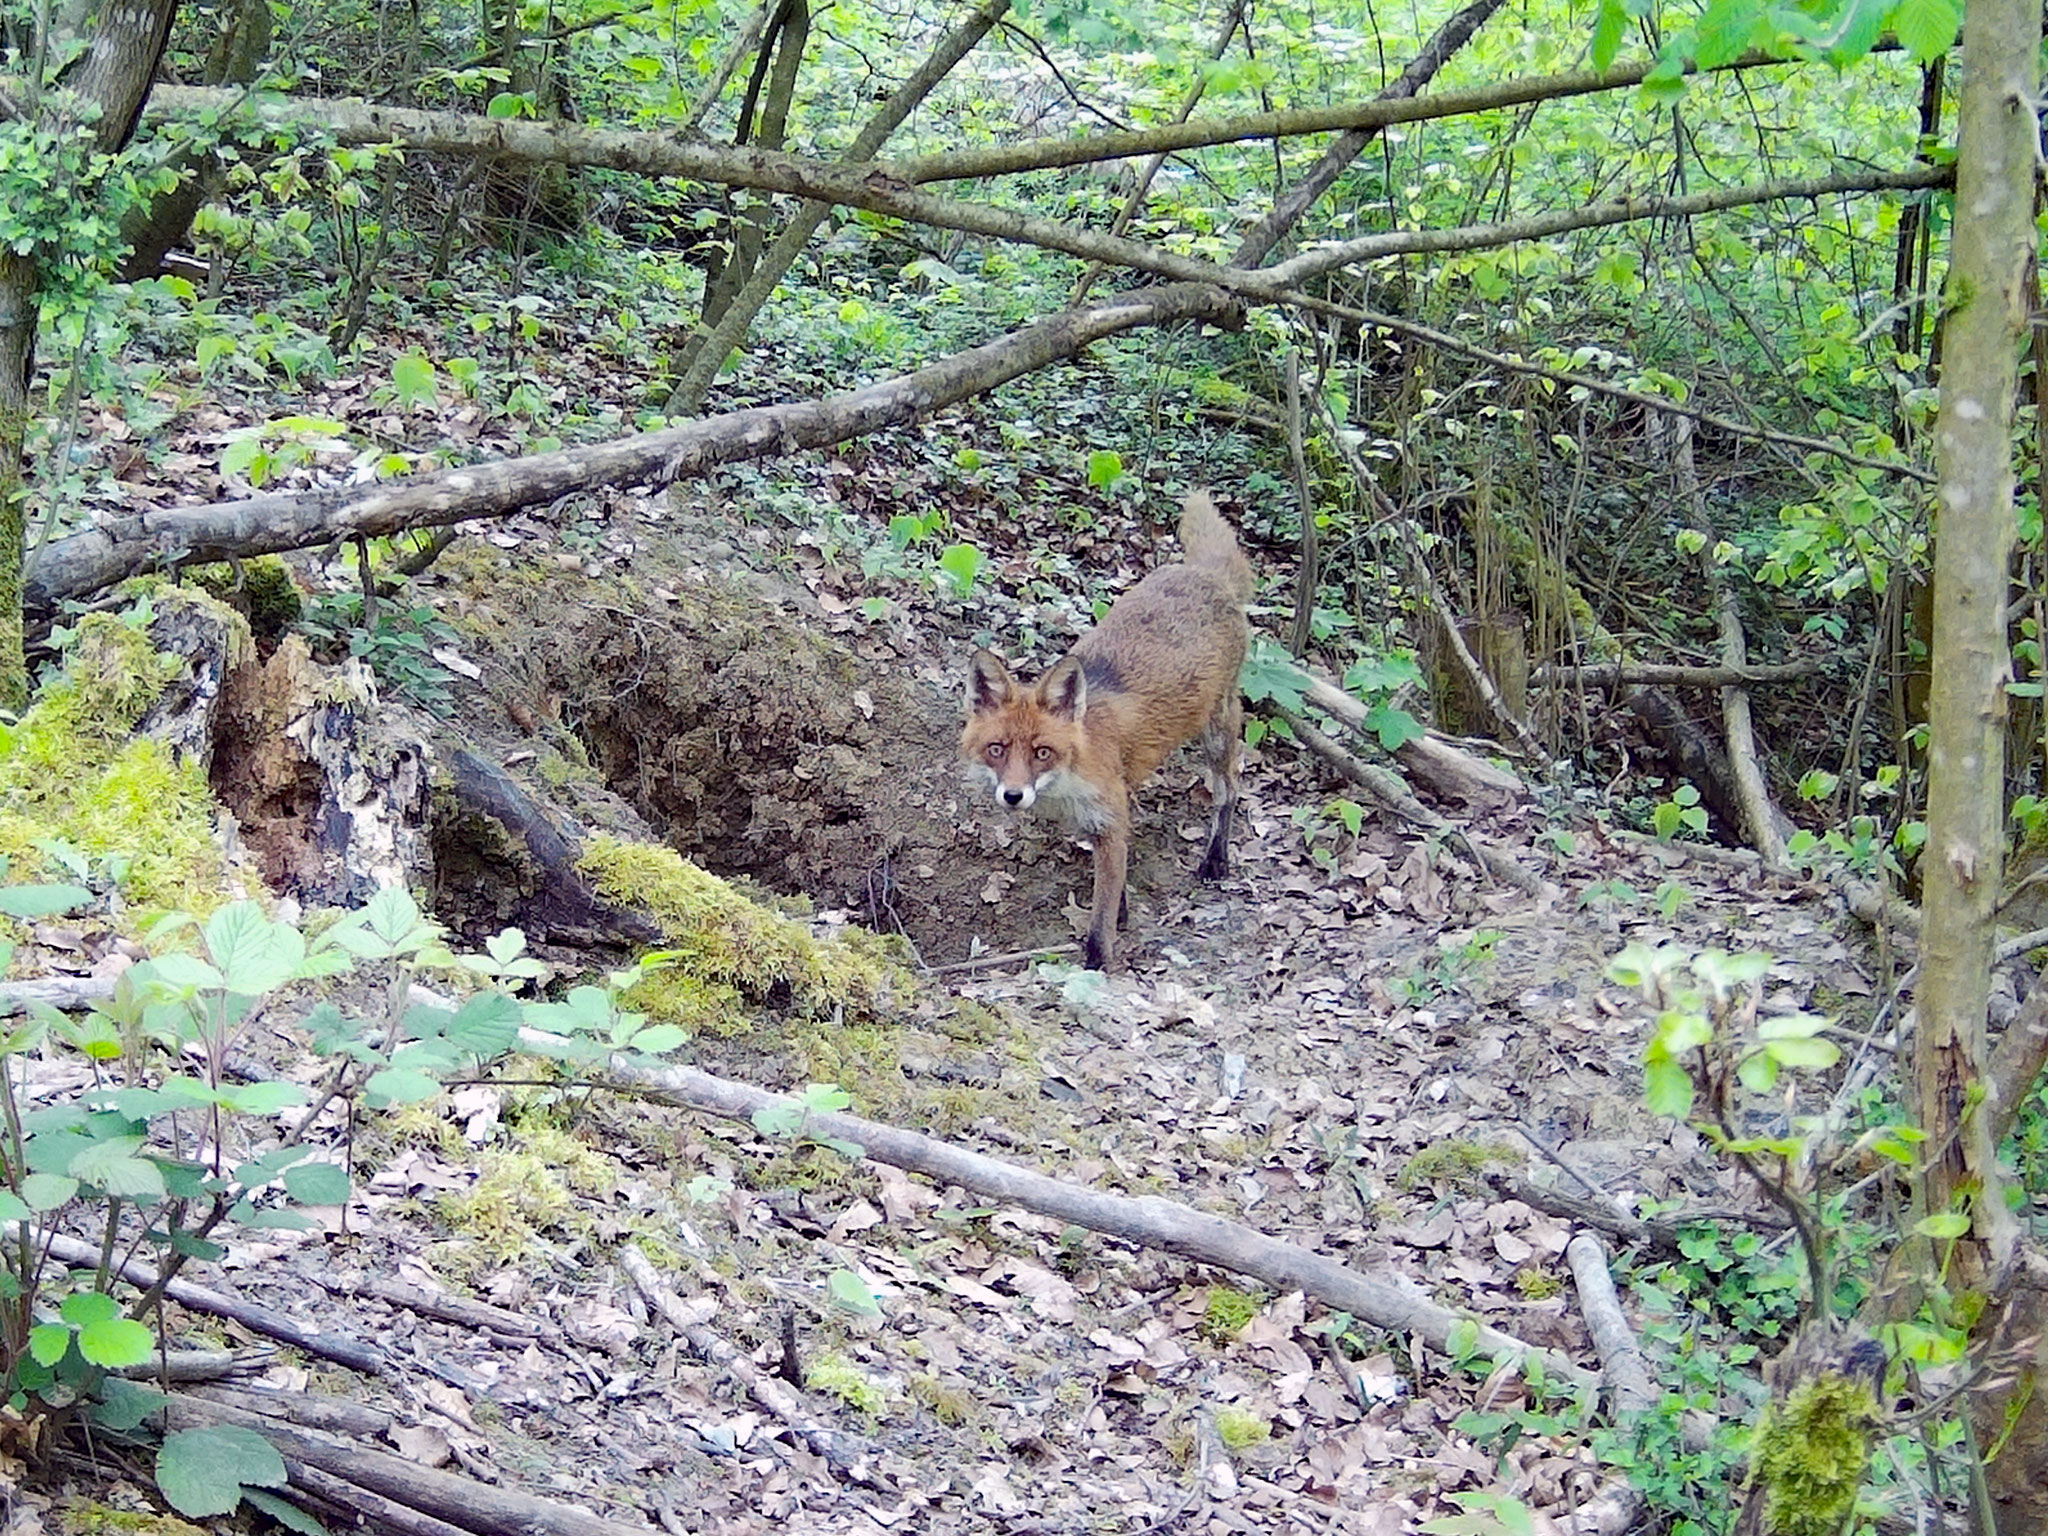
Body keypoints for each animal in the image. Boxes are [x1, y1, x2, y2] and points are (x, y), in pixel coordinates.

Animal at [961, 488, 1254, 971]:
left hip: (1217, 730)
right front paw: (1121, 913)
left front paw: (1097, 964)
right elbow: (1112, 890)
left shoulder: (1110, 822)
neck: (1069, 781)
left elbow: (1100, 921)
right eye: (997, 749)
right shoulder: (1103, 822)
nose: (1013, 796)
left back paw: (1217, 858)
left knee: (1229, 790)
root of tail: (1204, 573)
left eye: (1042, 752)